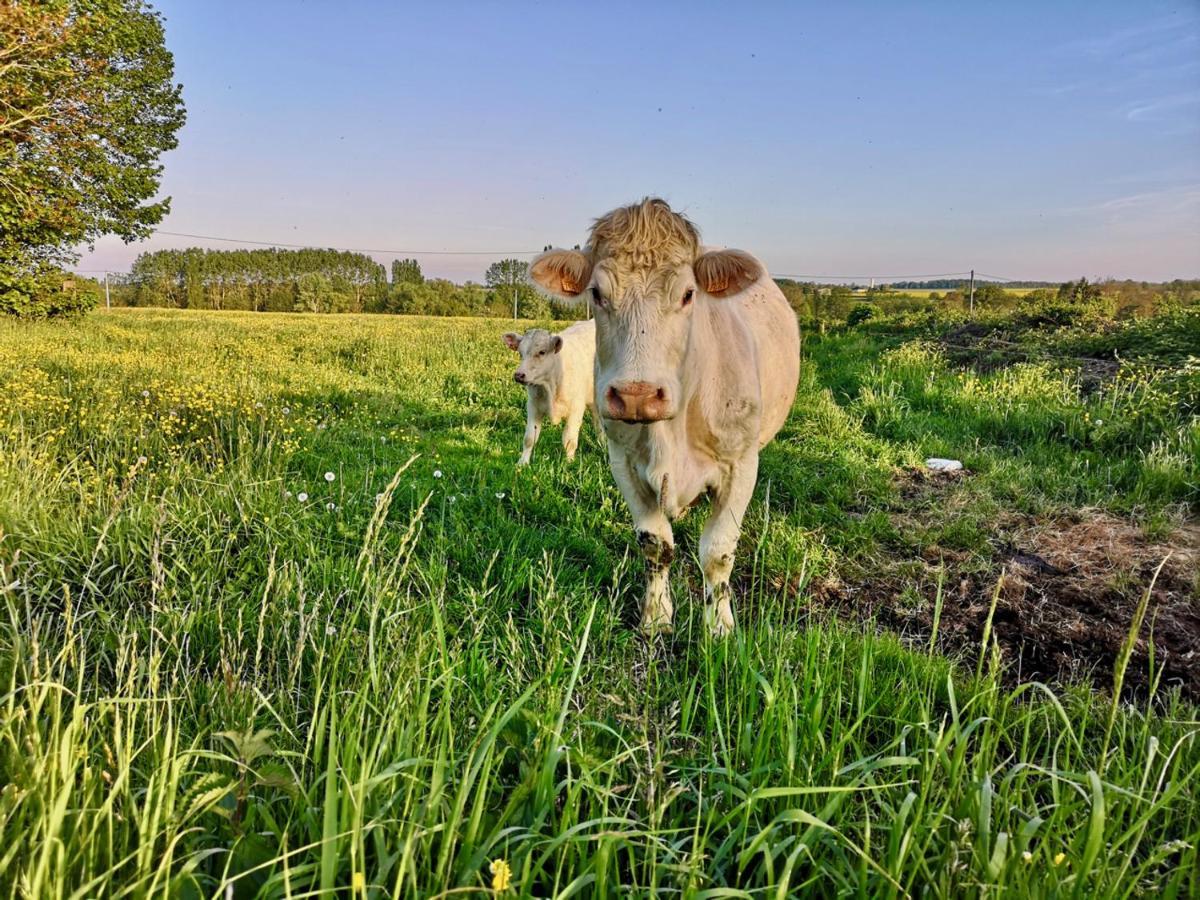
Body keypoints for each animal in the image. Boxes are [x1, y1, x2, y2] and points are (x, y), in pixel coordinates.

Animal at [501, 319, 600, 465]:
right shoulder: (533, 406)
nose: (519, 375)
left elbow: (569, 440)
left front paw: (569, 463)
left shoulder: (576, 409)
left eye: (542, 352)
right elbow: (529, 438)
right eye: (520, 353)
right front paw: (522, 463)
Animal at [528, 199, 796, 633]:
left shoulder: (740, 465)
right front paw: (656, 617)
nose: (635, 396)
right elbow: (655, 544)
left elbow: (718, 552)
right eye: (597, 293)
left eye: (688, 294)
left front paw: (719, 626)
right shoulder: (623, 463)